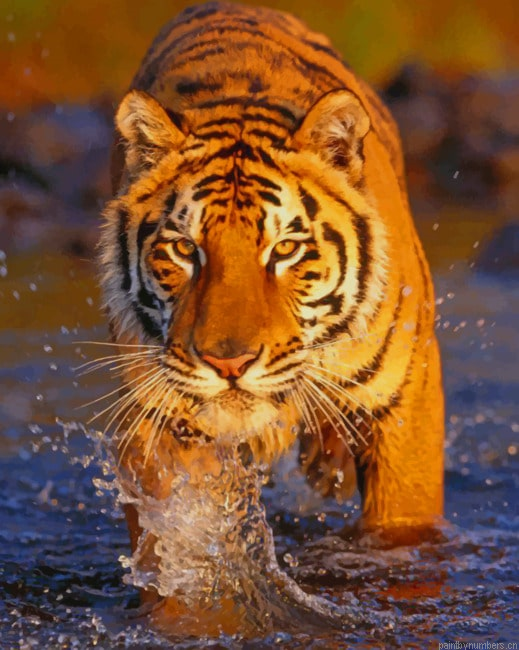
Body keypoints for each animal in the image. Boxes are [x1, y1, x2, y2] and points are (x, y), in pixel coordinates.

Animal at [98, 0, 444, 617]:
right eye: (184, 249)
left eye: (284, 249)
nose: (229, 363)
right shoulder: (157, 422)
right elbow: (176, 546)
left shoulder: (407, 405)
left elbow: (401, 532)